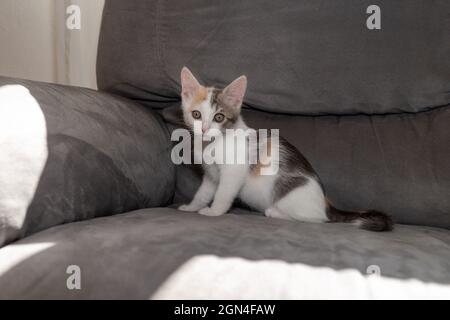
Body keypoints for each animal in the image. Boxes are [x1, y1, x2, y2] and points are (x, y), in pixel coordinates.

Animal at [178, 68, 392, 232]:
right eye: (196, 115)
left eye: (219, 117)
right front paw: (192, 207)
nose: (204, 129)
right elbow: (203, 193)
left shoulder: (233, 171)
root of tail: (326, 203)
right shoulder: (211, 176)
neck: (211, 144)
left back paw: (274, 212)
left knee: (317, 219)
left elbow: (223, 194)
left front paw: (214, 211)